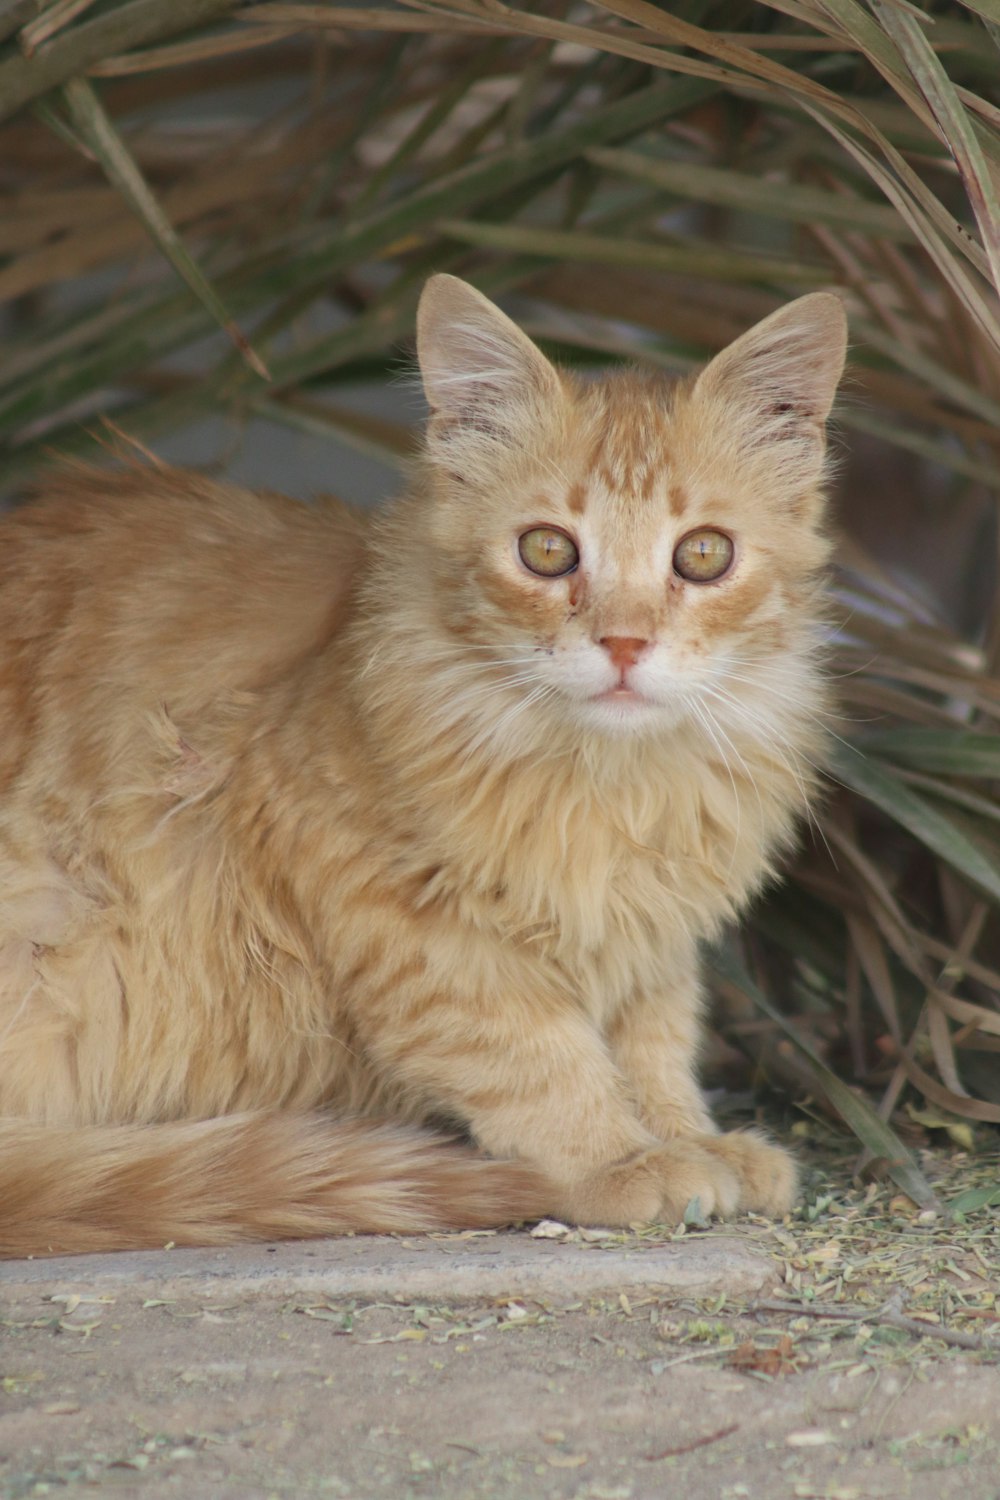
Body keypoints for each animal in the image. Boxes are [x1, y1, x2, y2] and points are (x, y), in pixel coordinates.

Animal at [0, 273, 845, 1254]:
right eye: (547, 551)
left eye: (703, 555)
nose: (626, 643)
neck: (608, 787)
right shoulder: (396, 911)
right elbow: (534, 1053)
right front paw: (620, 1158)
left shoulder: (653, 945)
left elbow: (654, 1044)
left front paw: (691, 1136)